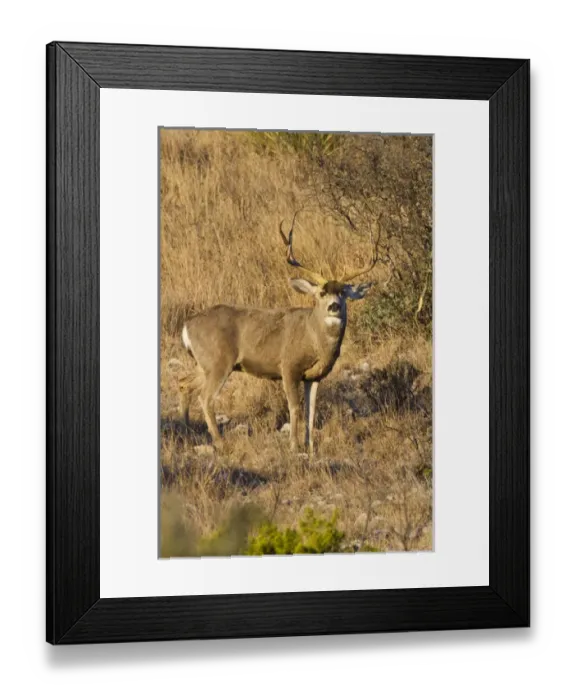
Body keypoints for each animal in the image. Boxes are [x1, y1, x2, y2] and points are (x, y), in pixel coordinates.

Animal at [178, 211, 384, 456]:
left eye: (343, 293)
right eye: (321, 293)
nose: (334, 306)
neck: (314, 338)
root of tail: (187, 325)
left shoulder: (315, 376)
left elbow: (311, 411)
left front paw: (311, 446)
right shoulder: (289, 366)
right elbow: (294, 407)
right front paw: (294, 445)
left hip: (204, 364)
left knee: (183, 383)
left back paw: (188, 433)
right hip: (219, 361)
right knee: (205, 397)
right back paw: (219, 442)